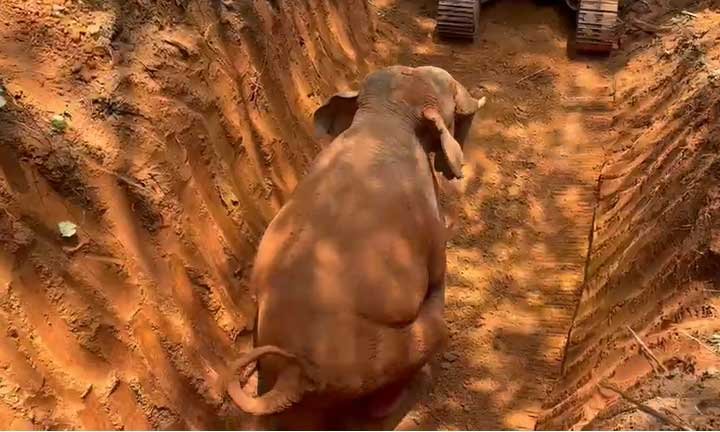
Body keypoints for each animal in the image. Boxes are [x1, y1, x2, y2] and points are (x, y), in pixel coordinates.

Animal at [225, 65, 485, 428]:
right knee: (426, 340)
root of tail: (295, 374)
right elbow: (437, 271)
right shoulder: (429, 221)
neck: (385, 114)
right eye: (449, 93)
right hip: (374, 356)